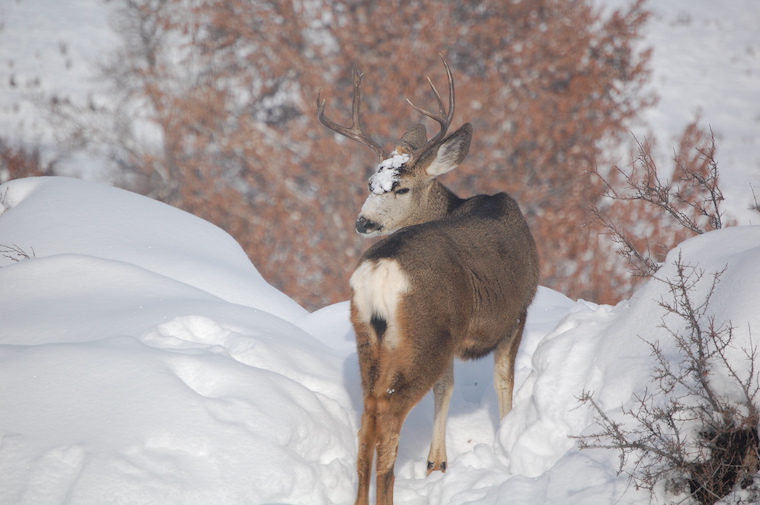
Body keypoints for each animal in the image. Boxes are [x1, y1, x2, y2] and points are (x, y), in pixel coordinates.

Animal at [317, 58, 539, 505]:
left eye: (398, 187)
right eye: (370, 185)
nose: (363, 222)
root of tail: (380, 270)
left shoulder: (456, 337)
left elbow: (447, 388)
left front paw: (437, 463)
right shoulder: (516, 311)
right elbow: (502, 382)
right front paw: (506, 441)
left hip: (371, 337)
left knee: (369, 412)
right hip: (423, 334)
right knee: (388, 414)